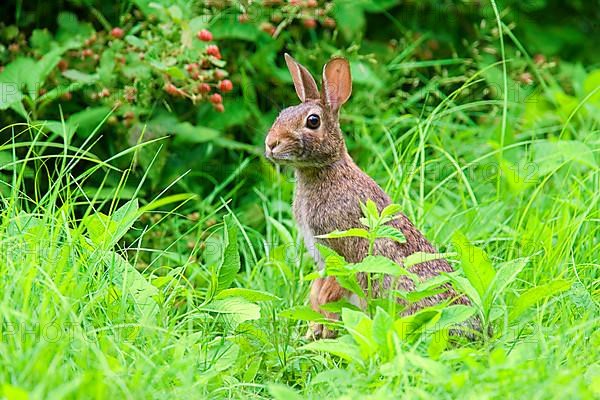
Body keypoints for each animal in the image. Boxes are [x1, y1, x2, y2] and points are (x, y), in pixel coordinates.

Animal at [264, 54, 476, 340]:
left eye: (313, 121)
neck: (324, 169)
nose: (271, 144)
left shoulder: (343, 245)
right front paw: (315, 328)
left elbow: (336, 282)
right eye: (282, 114)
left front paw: (322, 323)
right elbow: (318, 287)